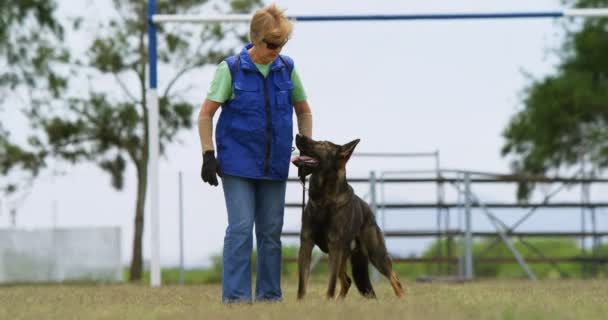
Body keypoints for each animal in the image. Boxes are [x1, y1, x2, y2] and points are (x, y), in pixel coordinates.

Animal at [290, 134, 404, 300]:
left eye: (322, 144)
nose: (298, 135)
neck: (324, 200)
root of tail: (368, 211)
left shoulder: (334, 248)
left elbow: (330, 285)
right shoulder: (306, 244)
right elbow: (302, 285)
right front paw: (302, 303)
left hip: (376, 254)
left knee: (395, 279)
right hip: (343, 256)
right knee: (347, 281)